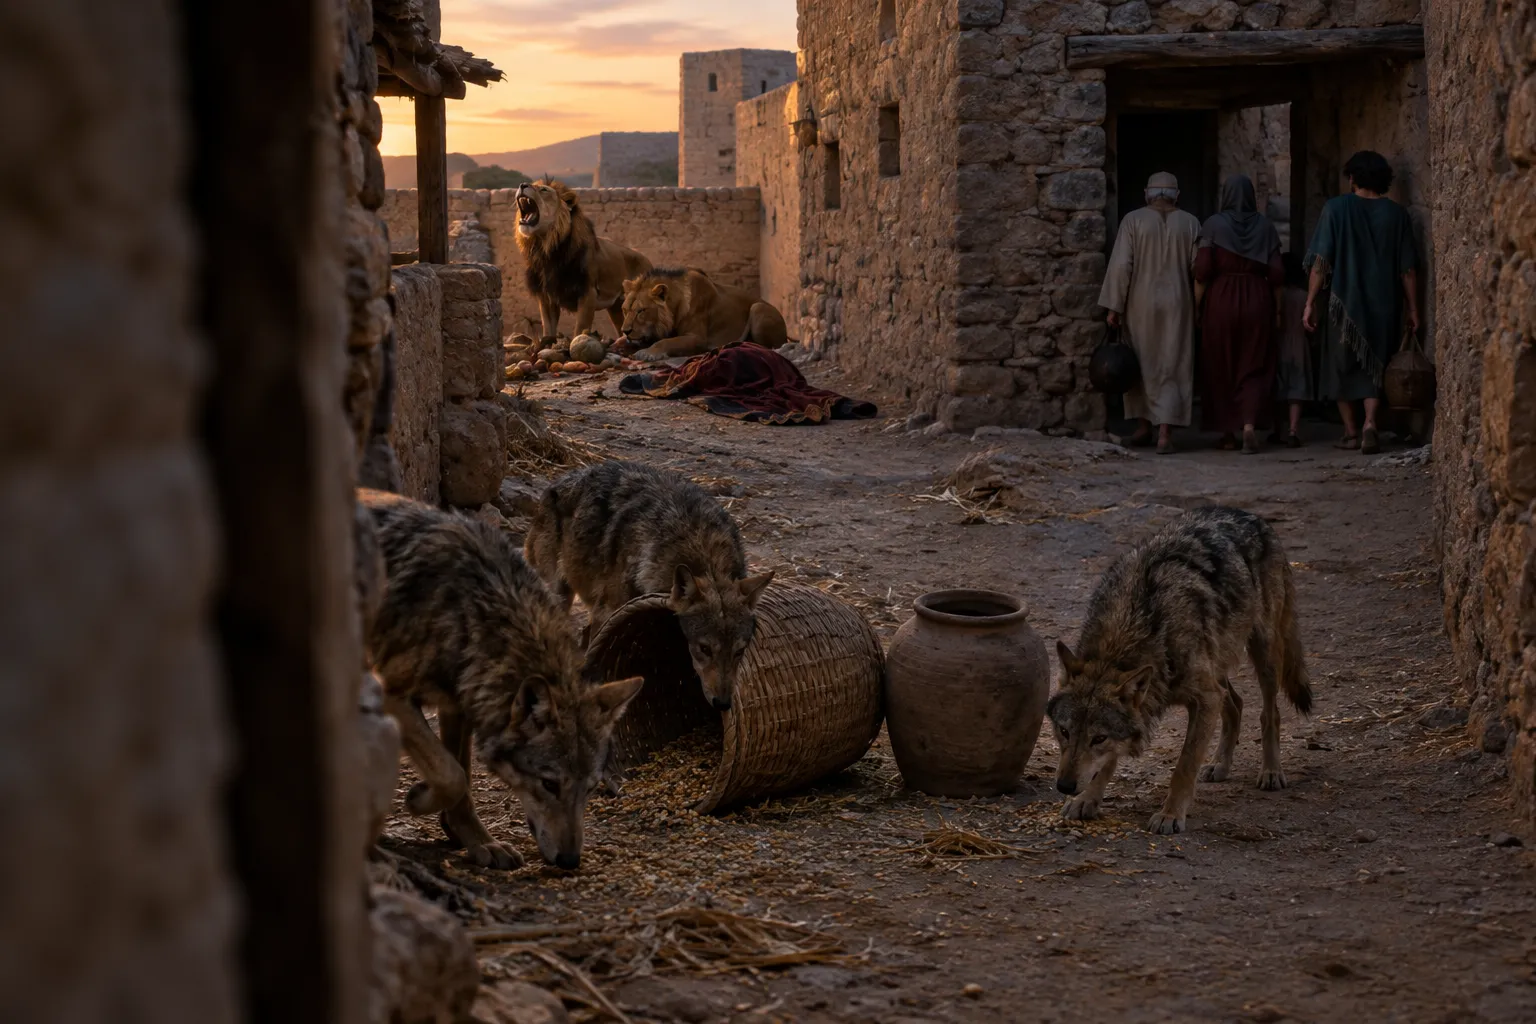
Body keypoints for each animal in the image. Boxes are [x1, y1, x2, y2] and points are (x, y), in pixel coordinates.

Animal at [360, 488, 643, 869]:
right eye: (549, 784)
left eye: (591, 788)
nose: (570, 860)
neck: (472, 615)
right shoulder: (394, 695)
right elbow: (453, 774)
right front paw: (420, 800)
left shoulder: (459, 705)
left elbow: (462, 776)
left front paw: (478, 841)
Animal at [513, 178, 652, 344]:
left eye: (544, 190)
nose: (522, 185)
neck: (546, 248)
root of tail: (647, 260)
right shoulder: (547, 297)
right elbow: (548, 329)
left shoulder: (588, 293)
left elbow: (579, 329)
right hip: (617, 307)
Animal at [524, 461, 773, 711]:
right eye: (705, 649)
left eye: (738, 652)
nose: (722, 704)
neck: (699, 543)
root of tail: (560, 480)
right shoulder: (606, 612)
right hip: (558, 597)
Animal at [618, 267, 789, 363]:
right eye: (625, 310)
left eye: (641, 311)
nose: (625, 331)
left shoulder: (697, 338)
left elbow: (666, 342)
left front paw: (647, 353)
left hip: (757, 307)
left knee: (768, 347)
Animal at [1048, 505, 1312, 835]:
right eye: (1064, 731)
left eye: (1099, 739)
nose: (1065, 786)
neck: (1127, 634)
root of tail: (1248, 514)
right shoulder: (1204, 694)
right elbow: (1106, 765)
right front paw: (1087, 800)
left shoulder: (1205, 699)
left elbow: (1184, 765)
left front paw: (1170, 814)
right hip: (1219, 665)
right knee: (1236, 703)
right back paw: (1220, 765)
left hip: (1263, 652)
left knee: (1269, 712)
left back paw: (1272, 771)